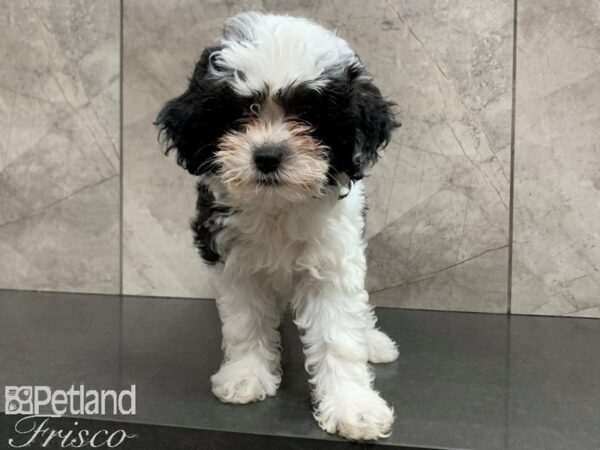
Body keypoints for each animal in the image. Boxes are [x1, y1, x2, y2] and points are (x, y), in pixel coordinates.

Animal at [156, 12, 398, 442]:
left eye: (308, 116)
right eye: (239, 114)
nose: (268, 155)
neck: (278, 205)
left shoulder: (333, 263)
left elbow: (339, 335)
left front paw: (353, 407)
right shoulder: (233, 260)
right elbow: (245, 322)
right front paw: (246, 376)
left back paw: (373, 342)